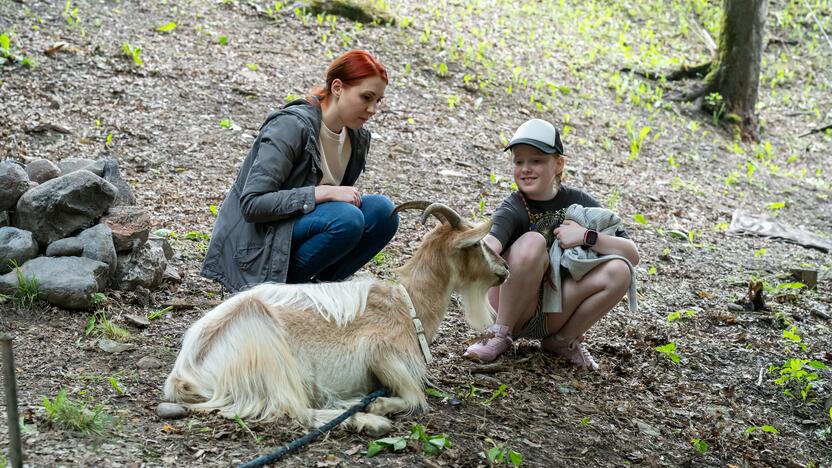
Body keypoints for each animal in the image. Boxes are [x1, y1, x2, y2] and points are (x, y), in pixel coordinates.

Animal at [164, 201, 508, 436]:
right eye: (478, 244)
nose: (504, 268)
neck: (409, 305)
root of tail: (186, 369)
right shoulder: (382, 353)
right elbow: (415, 396)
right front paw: (378, 405)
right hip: (264, 341)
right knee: (293, 409)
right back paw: (367, 420)